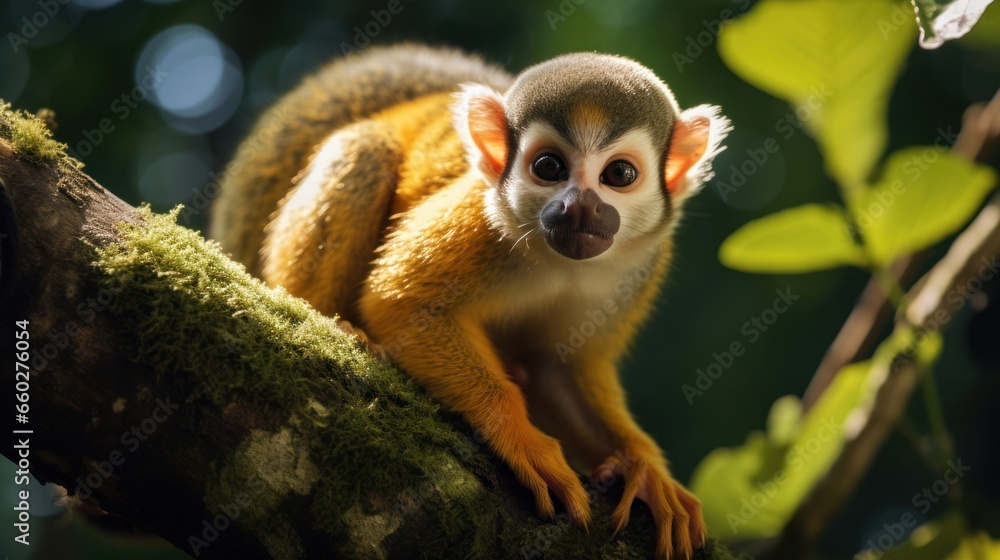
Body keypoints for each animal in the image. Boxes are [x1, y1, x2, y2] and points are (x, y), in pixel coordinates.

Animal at [211, 44, 730, 560]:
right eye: (549, 168)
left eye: (619, 174)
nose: (579, 207)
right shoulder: (479, 216)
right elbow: (401, 302)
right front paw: (519, 435)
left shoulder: (643, 266)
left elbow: (558, 371)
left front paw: (645, 470)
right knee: (366, 150)